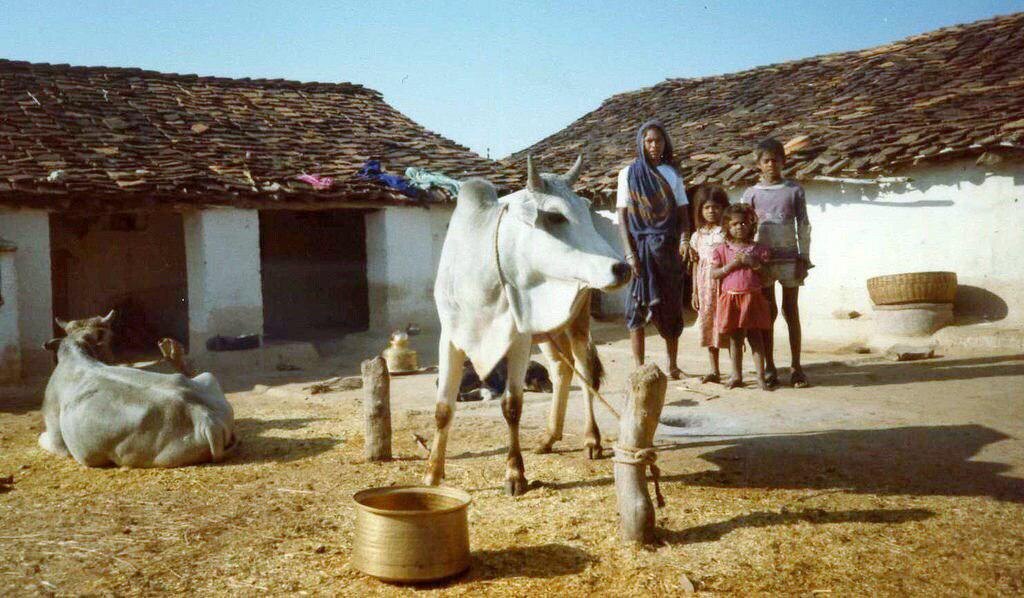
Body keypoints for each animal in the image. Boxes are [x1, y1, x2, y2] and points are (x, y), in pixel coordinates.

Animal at [423, 154, 630, 495]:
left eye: (585, 212)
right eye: (555, 216)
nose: (622, 268)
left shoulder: (517, 339)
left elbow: (512, 406)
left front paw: (515, 474)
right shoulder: (450, 337)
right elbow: (442, 408)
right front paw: (432, 474)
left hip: (577, 323)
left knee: (584, 370)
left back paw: (591, 439)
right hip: (546, 332)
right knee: (561, 371)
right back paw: (549, 437)